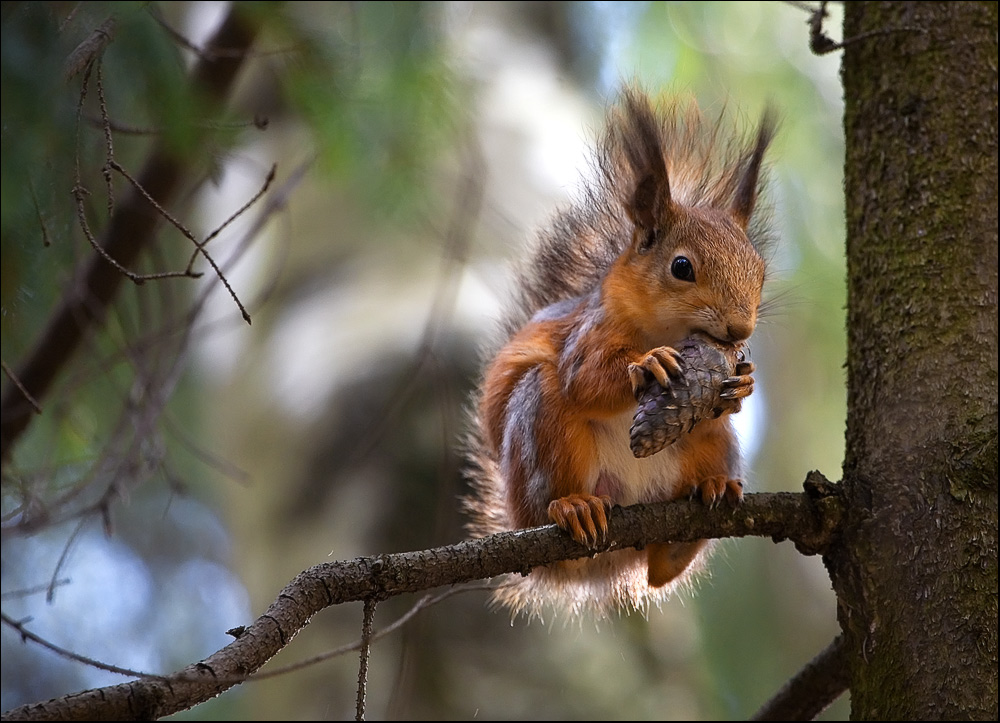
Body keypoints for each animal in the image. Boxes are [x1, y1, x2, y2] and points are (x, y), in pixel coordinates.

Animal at [460, 86, 772, 616]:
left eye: (761, 270)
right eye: (682, 267)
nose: (739, 329)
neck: (666, 329)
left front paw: (742, 384)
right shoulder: (588, 335)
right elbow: (584, 380)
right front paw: (647, 365)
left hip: (718, 447)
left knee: (661, 569)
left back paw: (708, 495)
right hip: (541, 429)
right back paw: (573, 507)